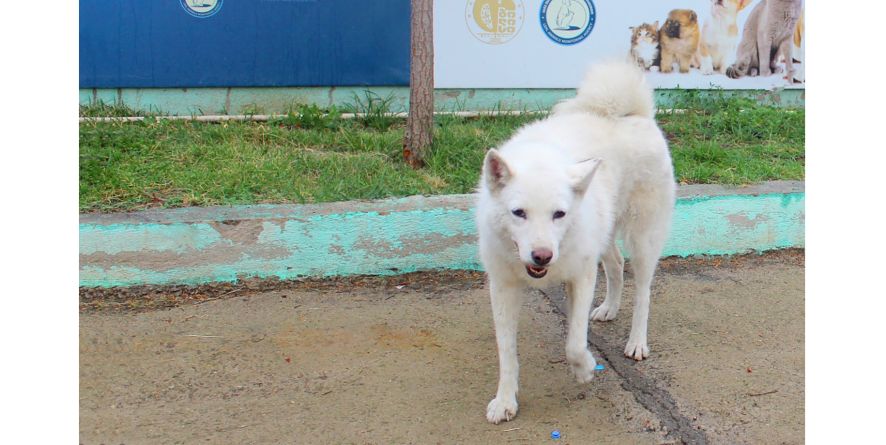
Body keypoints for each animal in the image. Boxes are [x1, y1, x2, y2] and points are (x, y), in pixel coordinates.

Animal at [476, 59, 676, 424]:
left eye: (559, 214)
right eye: (518, 213)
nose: (541, 256)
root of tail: (634, 114)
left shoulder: (581, 275)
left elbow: (574, 341)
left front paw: (584, 368)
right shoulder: (503, 287)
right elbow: (506, 351)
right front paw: (505, 400)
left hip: (643, 237)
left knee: (643, 291)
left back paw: (637, 342)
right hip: (604, 231)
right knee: (616, 264)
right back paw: (610, 308)